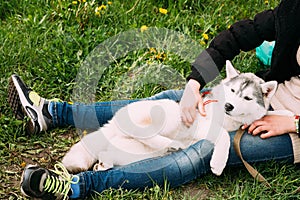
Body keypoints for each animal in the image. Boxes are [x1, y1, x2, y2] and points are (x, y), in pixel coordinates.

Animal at [62, 61, 278, 175]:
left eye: (247, 98)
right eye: (232, 91)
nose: (228, 106)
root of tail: (113, 122)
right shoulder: (204, 123)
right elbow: (224, 135)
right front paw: (218, 163)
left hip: (133, 153)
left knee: (109, 152)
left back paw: (104, 163)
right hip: (169, 116)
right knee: (141, 132)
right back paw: (172, 144)